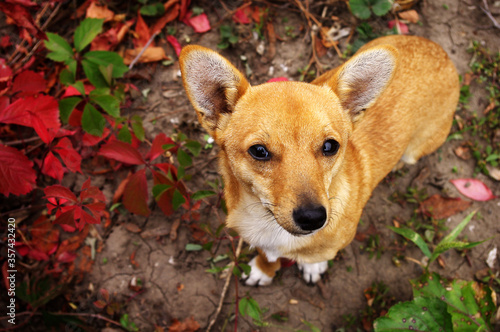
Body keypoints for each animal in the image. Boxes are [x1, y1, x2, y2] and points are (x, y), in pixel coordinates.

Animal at [178, 35, 458, 286]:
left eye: (330, 146)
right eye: (259, 151)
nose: (313, 217)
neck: (272, 228)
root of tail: (442, 53)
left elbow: (315, 257)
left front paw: (311, 266)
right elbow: (266, 256)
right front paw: (263, 270)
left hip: (417, 148)